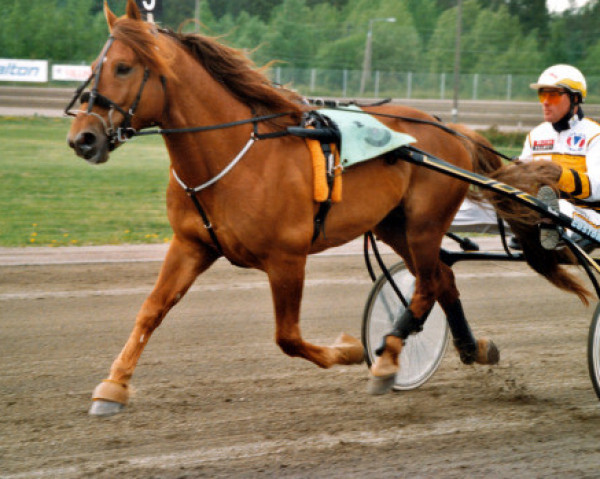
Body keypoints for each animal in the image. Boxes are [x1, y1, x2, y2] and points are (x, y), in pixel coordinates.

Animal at [67, 0, 584, 416]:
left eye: (124, 68)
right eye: (94, 65)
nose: (82, 139)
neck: (234, 154)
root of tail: (450, 126)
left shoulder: (286, 258)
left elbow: (288, 337)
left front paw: (353, 350)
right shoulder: (192, 244)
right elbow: (150, 311)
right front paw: (112, 387)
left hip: (423, 223)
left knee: (427, 284)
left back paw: (387, 358)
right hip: (395, 225)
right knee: (442, 279)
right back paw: (469, 347)